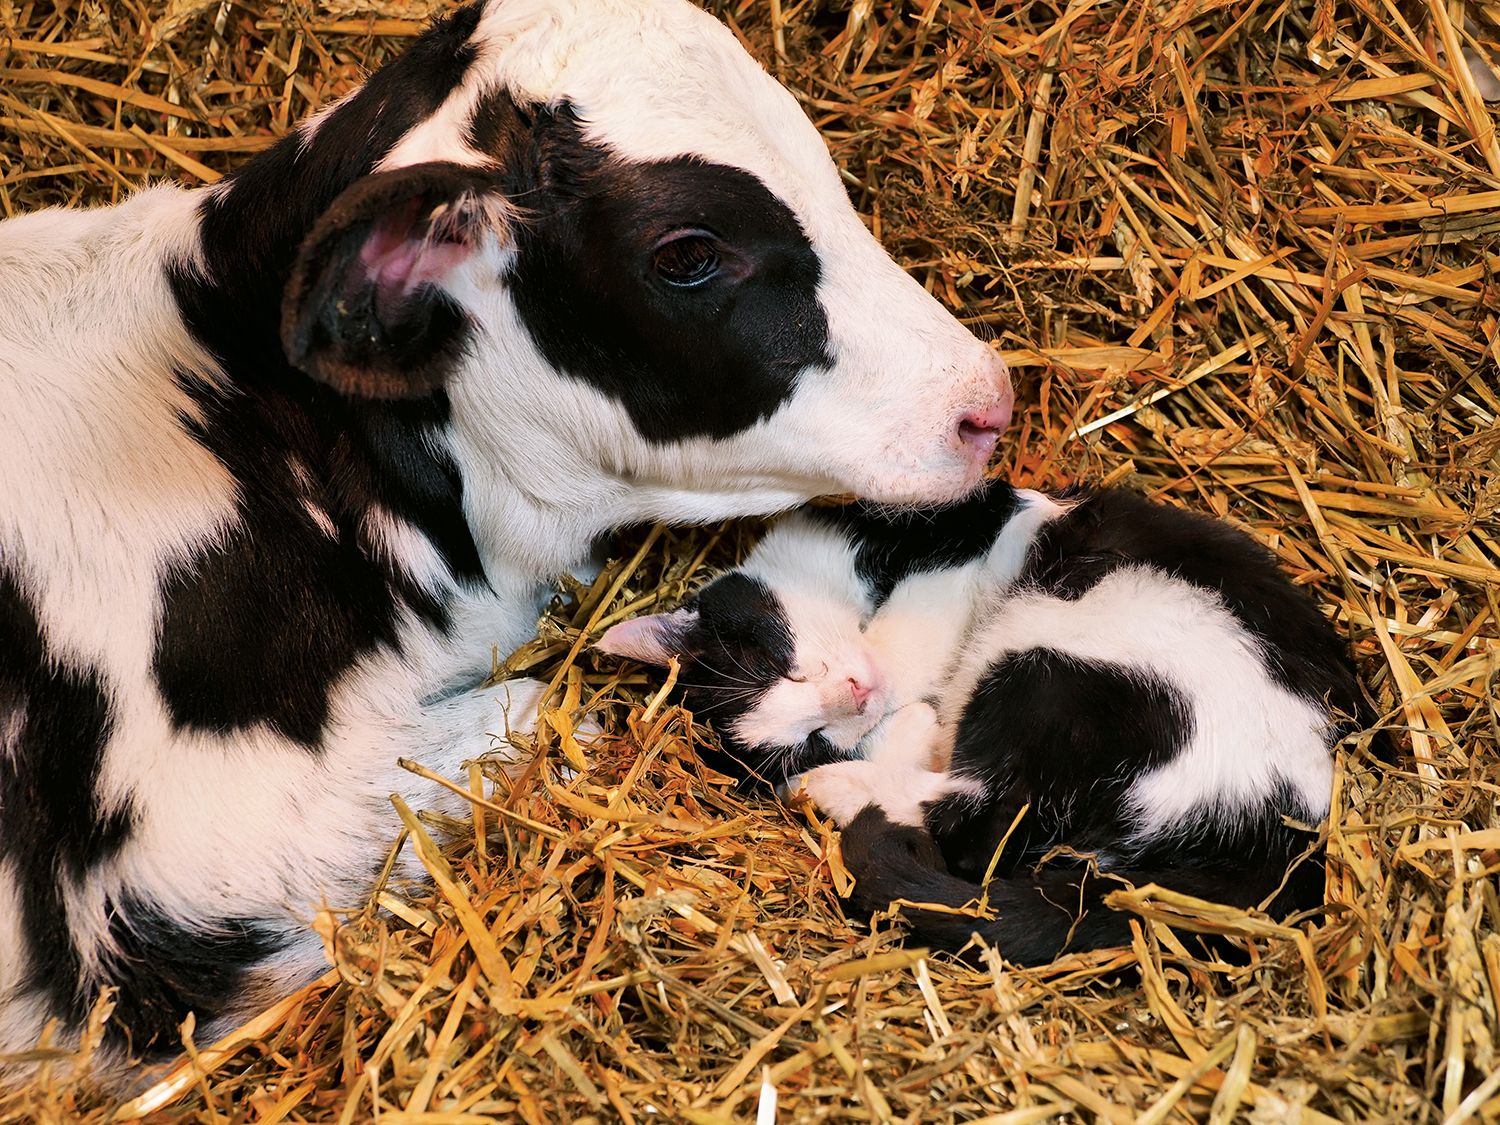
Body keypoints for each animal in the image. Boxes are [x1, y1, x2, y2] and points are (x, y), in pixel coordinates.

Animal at [591, 480, 1374, 966]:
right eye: (808, 736)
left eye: (779, 664)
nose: (853, 699)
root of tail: (1276, 832)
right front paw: (883, 734)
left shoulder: (966, 526)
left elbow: (919, 634)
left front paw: (897, 707)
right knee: (989, 818)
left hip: (1052, 663)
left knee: (988, 817)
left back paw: (836, 789)